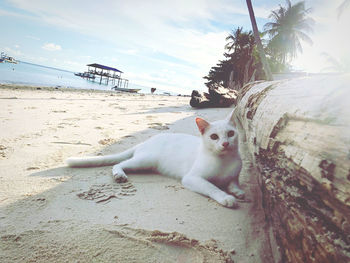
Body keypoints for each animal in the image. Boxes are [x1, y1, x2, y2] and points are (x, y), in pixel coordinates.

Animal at [67, 111, 245, 208]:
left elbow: (233, 181)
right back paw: (119, 175)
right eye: (214, 137)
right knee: (119, 163)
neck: (225, 161)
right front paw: (226, 197)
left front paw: (237, 191)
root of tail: (146, 141)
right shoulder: (192, 178)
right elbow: (212, 187)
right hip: (145, 160)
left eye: (230, 134)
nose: (225, 143)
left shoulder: (234, 174)